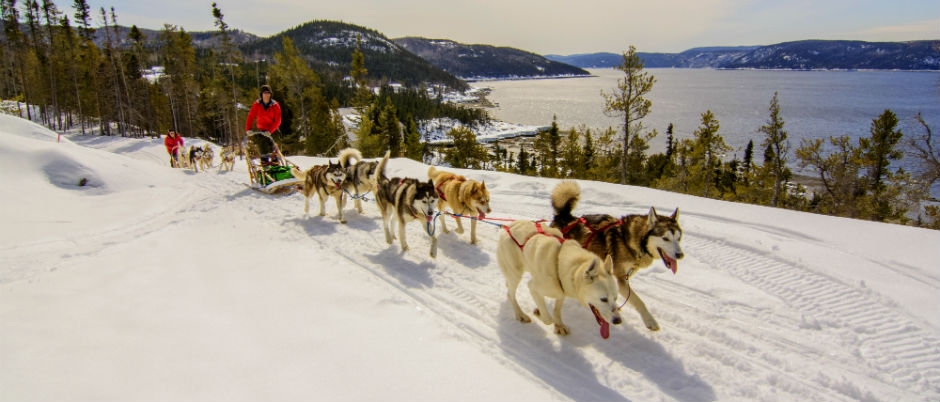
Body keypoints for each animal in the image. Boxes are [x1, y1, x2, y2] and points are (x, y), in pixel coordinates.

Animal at [552, 181, 684, 332]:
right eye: (665, 238)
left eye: (678, 238)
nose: (680, 255)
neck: (632, 241)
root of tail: (564, 217)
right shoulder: (621, 278)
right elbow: (638, 301)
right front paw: (650, 321)